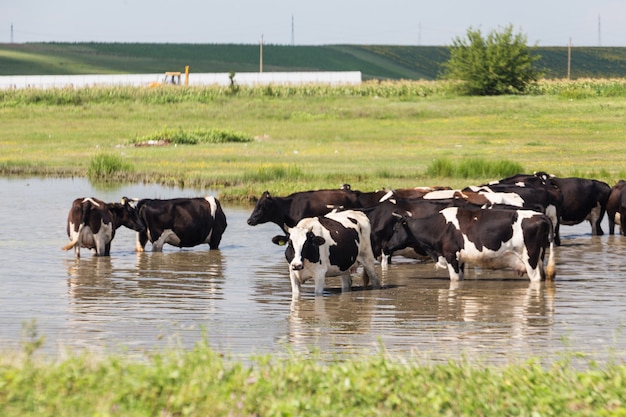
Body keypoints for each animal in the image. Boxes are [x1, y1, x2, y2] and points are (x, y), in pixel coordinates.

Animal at [386, 206, 556, 282]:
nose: (386, 246)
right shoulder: (460, 259)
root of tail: (539, 215)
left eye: (395, 229)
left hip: (530, 258)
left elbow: (454, 280)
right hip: (539, 257)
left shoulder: (450, 256)